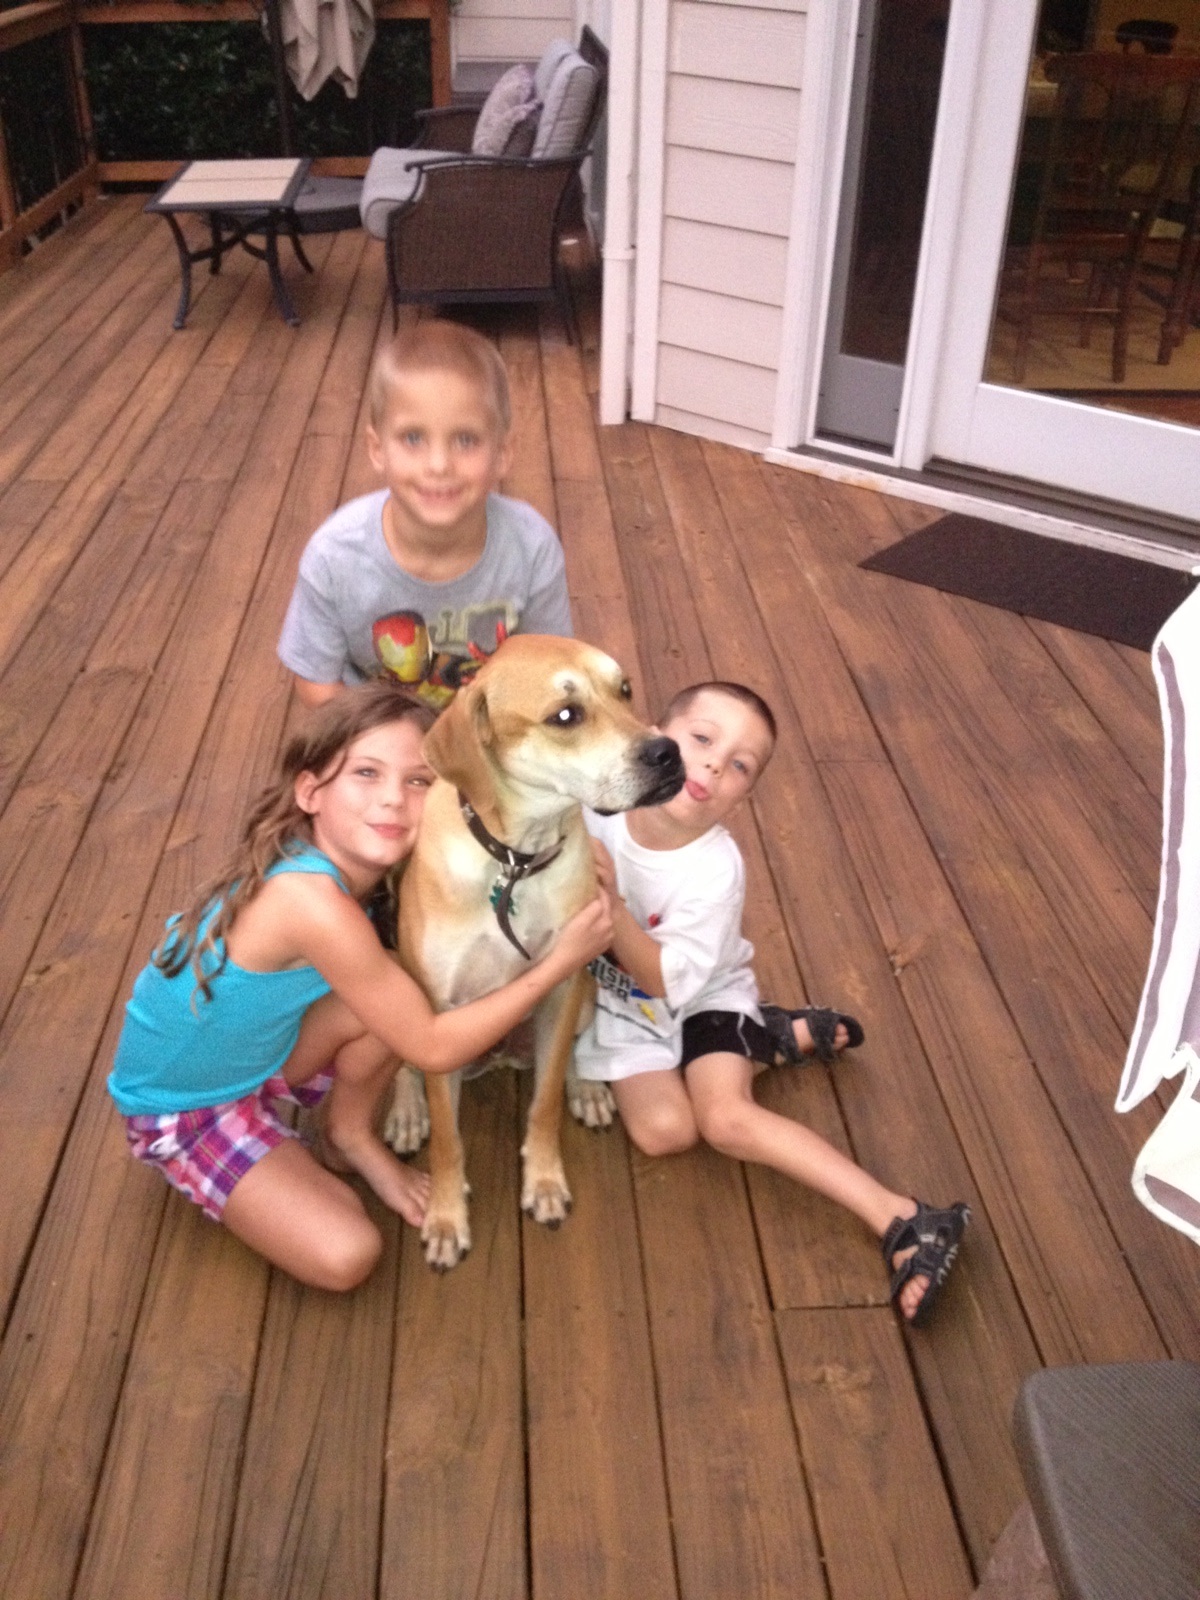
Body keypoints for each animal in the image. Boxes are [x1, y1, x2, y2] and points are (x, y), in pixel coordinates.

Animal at [390, 634, 684, 1269]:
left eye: (625, 689)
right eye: (565, 716)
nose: (668, 752)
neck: (515, 858)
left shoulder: (565, 982)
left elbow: (544, 1102)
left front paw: (544, 1180)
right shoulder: (441, 1015)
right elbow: (449, 1141)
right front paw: (446, 1217)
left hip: (588, 991)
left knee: (570, 1052)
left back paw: (588, 1087)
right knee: (405, 1065)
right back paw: (407, 1107)